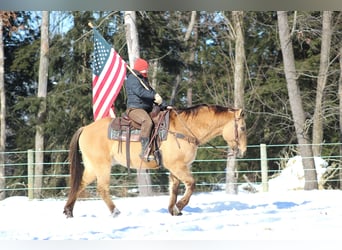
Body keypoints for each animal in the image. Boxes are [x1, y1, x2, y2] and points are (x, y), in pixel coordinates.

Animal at [62, 103, 247, 217]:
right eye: (243, 127)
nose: (243, 150)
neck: (184, 129)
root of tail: (85, 128)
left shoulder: (177, 168)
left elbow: (174, 188)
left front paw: (173, 210)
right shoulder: (178, 166)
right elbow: (191, 184)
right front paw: (179, 206)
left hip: (92, 167)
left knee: (79, 184)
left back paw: (68, 211)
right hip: (102, 166)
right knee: (101, 188)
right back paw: (115, 211)